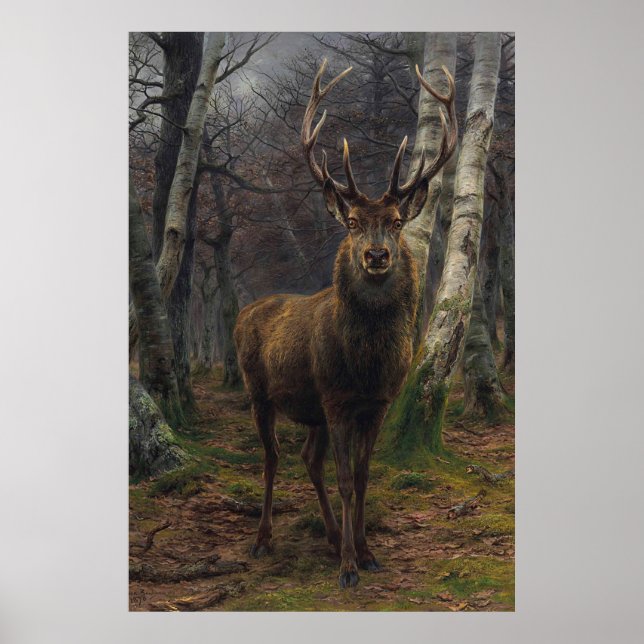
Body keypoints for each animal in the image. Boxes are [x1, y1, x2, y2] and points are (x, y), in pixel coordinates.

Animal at [233, 59, 457, 589]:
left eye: (396, 221)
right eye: (353, 222)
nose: (375, 255)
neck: (366, 365)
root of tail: (246, 311)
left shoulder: (375, 403)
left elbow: (361, 476)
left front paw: (367, 552)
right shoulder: (336, 398)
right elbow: (343, 479)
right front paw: (350, 568)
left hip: (310, 406)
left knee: (306, 459)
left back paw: (334, 538)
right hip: (258, 390)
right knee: (273, 458)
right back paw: (263, 539)